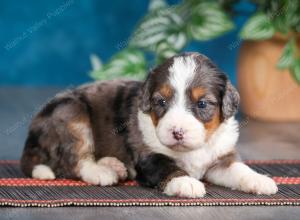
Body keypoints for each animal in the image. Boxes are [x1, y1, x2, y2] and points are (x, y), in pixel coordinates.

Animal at [21, 52, 278, 198]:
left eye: (202, 103)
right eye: (160, 102)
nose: (177, 132)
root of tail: (30, 137)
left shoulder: (221, 157)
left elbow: (238, 169)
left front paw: (260, 180)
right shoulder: (148, 155)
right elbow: (167, 167)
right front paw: (186, 182)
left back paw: (113, 165)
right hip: (72, 113)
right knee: (73, 160)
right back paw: (101, 172)